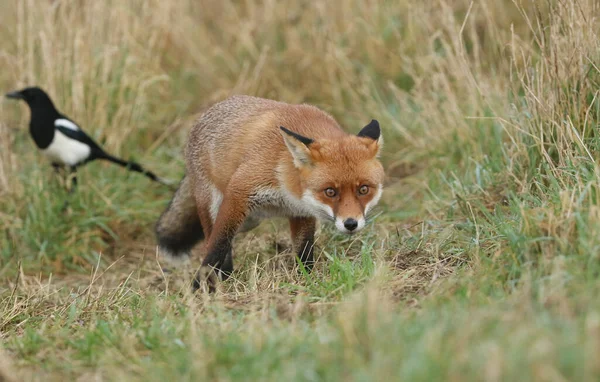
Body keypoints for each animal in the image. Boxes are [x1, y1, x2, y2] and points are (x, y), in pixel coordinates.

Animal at [156, 95, 384, 290]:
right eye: (330, 192)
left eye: (363, 189)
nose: (351, 224)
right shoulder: (239, 192)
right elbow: (217, 245)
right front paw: (200, 286)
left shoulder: (301, 212)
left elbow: (304, 250)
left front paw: (306, 279)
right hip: (216, 206)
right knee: (213, 237)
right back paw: (224, 276)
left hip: (249, 220)